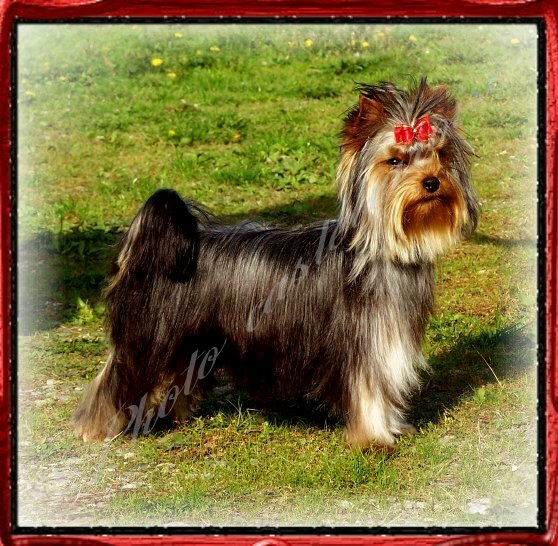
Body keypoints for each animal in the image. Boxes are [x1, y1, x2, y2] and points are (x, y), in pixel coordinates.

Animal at [74, 78, 479, 448]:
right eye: (395, 161)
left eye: (440, 156)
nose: (432, 182)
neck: (383, 249)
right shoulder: (362, 348)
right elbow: (367, 393)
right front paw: (375, 439)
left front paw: (395, 429)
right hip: (149, 335)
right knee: (118, 376)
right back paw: (94, 427)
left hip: (192, 341)